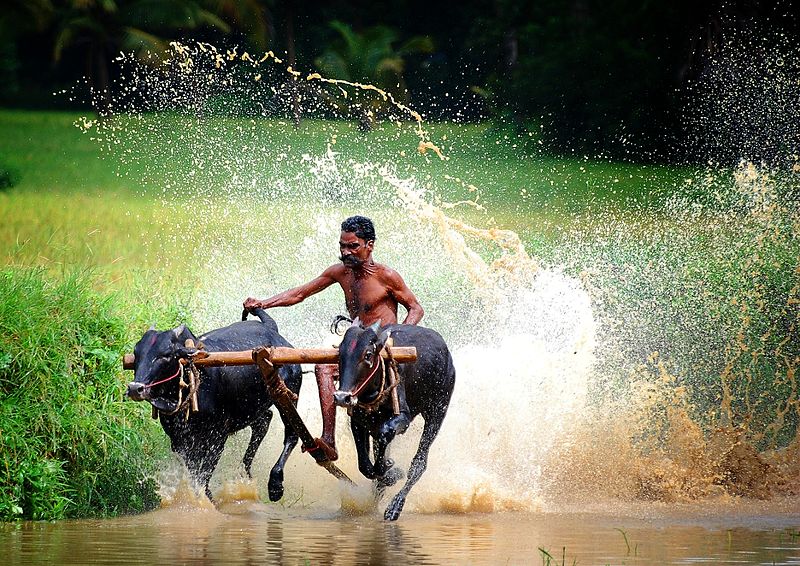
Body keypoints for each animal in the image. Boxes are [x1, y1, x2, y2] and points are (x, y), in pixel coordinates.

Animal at [123, 310, 302, 502]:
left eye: (166, 354)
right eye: (136, 353)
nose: (135, 388)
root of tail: (273, 331)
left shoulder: (217, 437)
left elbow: (204, 474)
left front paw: (208, 501)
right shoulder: (179, 441)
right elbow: (194, 473)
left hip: (287, 397)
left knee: (292, 435)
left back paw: (275, 485)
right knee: (264, 421)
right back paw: (244, 472)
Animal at [332, 324, 456, 524]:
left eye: (368, 354)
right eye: (339, 354)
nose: (342, 397)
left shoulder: (403, 418)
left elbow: (386, 433)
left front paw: (393, 472)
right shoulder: (358, 422)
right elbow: (366, 466)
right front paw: (388, 473)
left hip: (437, 411)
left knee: (419, 463)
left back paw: (395, 507)